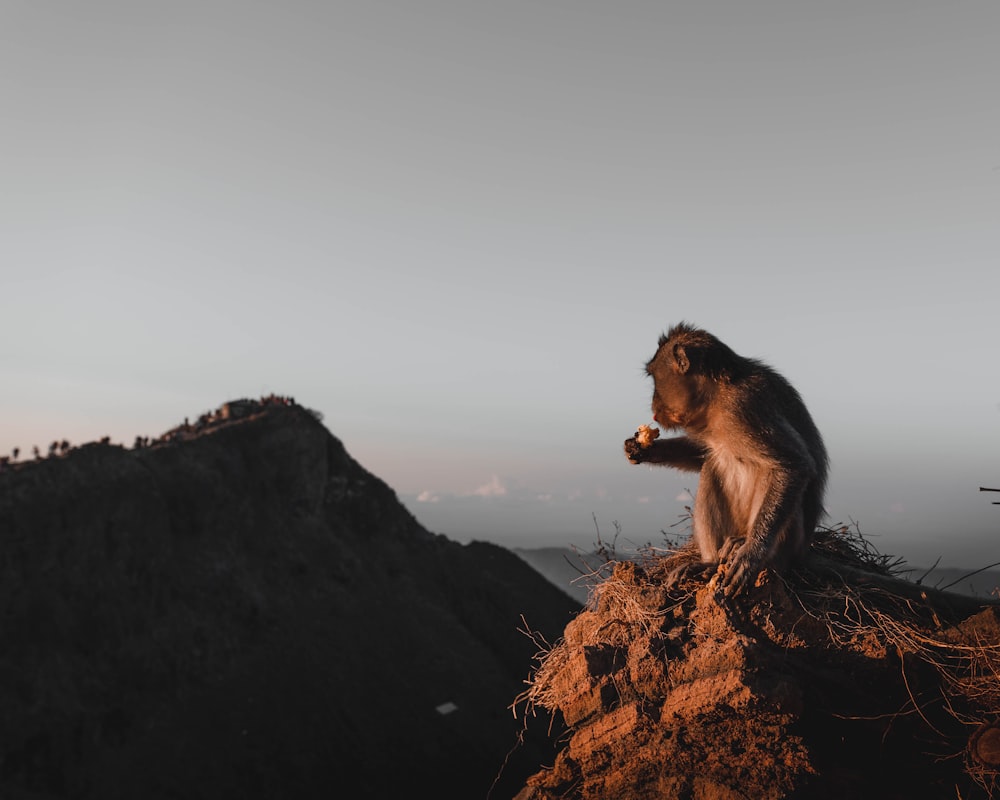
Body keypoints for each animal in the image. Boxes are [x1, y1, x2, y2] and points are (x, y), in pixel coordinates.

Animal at [624, 322, 828, 596]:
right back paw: (709, 564)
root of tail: (802, 555)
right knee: (712, 465)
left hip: (789, 545)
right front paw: (642, 449)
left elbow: (794, 465)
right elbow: (702, 455)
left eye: (655, 377)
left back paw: (744, 544)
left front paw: (752, 554)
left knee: (771, 473)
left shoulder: (745, 406)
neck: (717, 397)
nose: (654, 406)